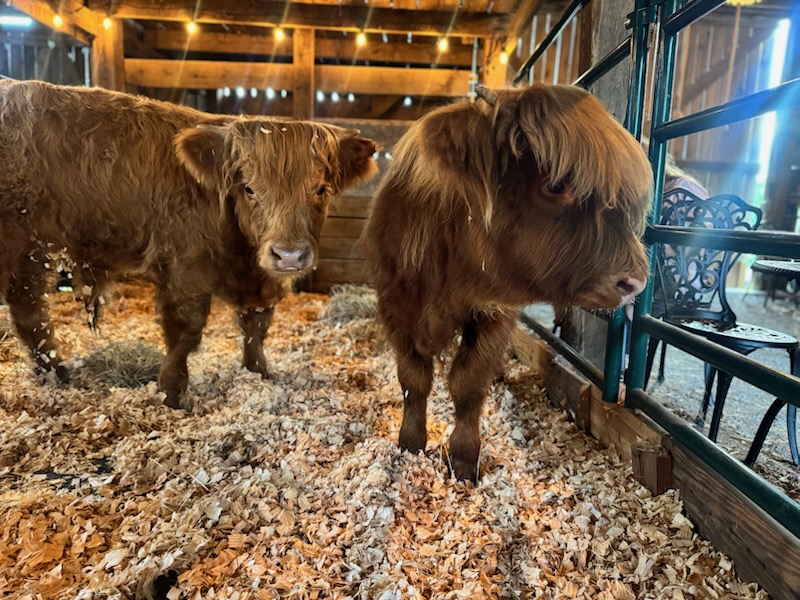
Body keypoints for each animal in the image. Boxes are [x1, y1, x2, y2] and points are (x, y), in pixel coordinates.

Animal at [0, 79, 378, 409]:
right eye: (248, 188)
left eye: (321, 189)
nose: (289, 255)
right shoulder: (185, 269)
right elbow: (185, 332)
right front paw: (172, 393)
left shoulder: (258, 281)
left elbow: (256, 326)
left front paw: (258, 372)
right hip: (22, 243)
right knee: (29, 309)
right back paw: (57, 372)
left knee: (26, 307)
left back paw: (54, 373)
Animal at [364, 83, 653, 482]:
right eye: (555, 185)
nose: (634, 281)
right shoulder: (395, 308)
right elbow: (413, 380)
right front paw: (410, 444)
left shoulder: (493, 315)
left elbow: (468, 383)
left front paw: (464, 460)